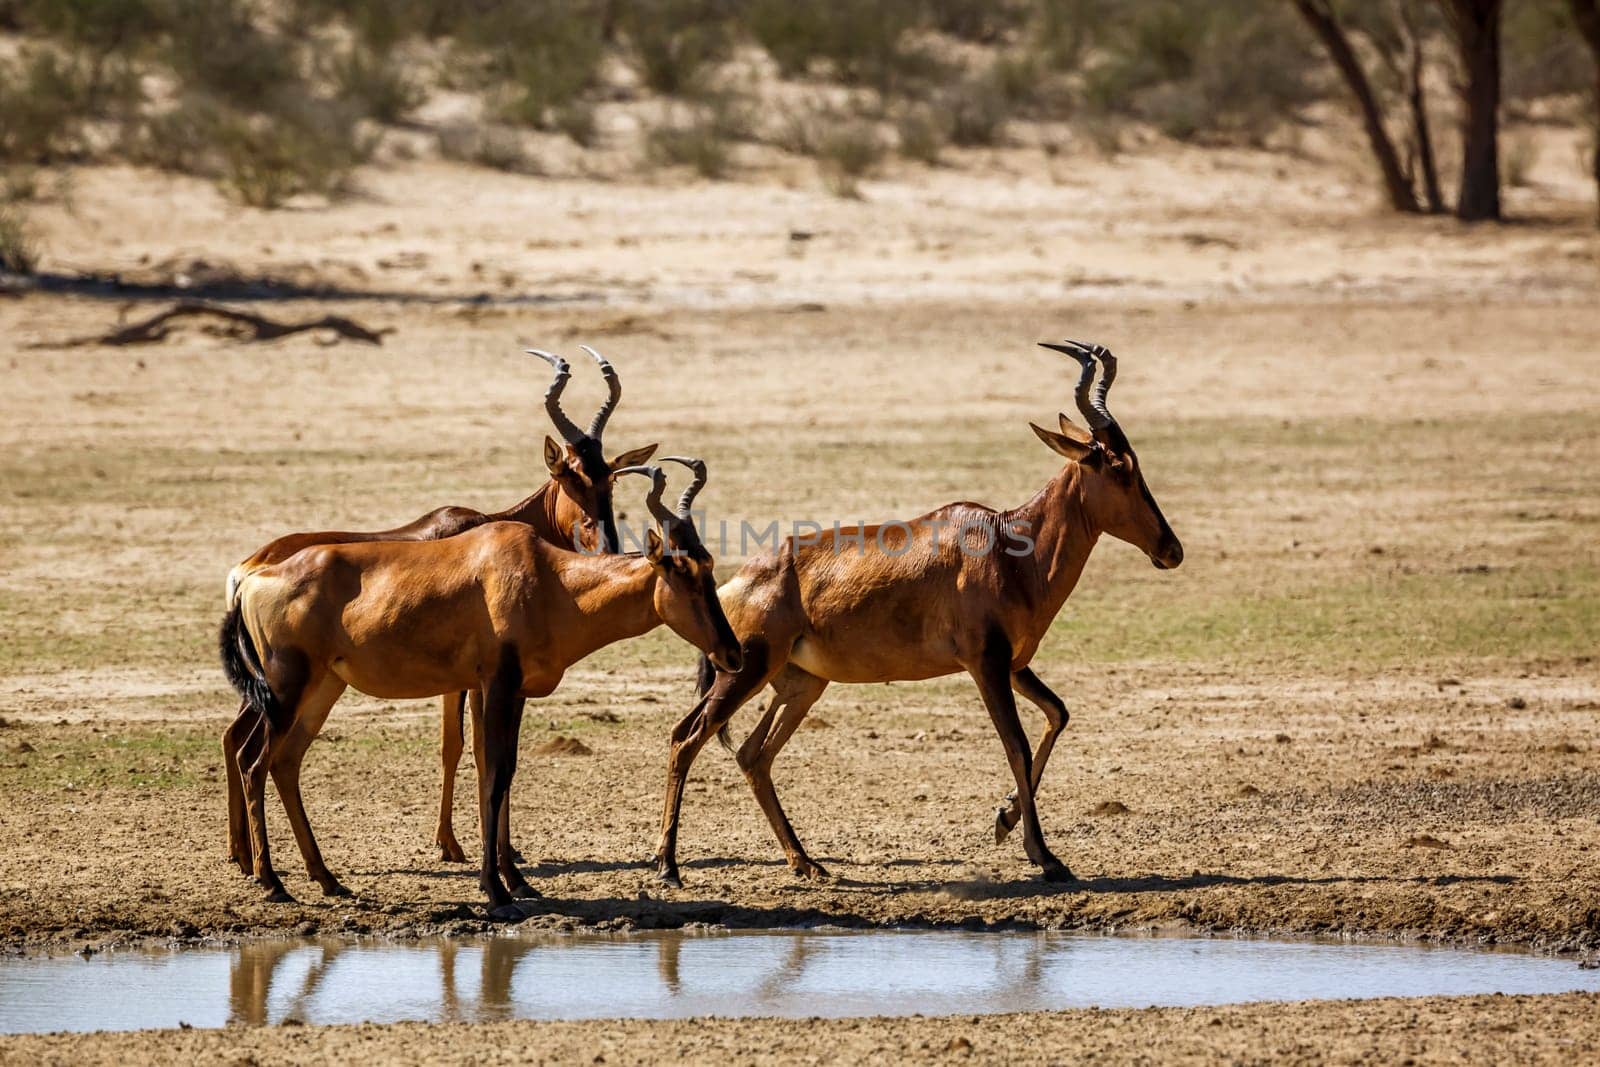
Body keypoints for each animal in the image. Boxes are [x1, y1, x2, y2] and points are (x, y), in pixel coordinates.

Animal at [219, 347, 656, 870]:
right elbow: (469, 749)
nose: (607, 544)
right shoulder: (474, 676)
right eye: (568, 474)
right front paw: (459, 846)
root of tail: (247, 571)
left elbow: (478, 750)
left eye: (609, 477)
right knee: (245, 745)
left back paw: (240, 854)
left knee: (232, 737)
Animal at [219, 460, 742, 921]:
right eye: (681, 572)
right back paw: (272, 882)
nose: (732, 654)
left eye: (709, 565)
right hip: (286, 690)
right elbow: (493, 774)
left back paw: (327, 879)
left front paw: (516, 881)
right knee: (253, 761)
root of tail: (251, 579)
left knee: (285, 762)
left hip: (323, 687)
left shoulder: (510, 690)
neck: (547, 576)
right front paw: (496, 890)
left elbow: (502, 770)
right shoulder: (497, 683)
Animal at [652, 340, 1190, 883]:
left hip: (801, 684)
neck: (1006, 543)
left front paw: (1004, 819)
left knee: (752, 754)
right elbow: (1014, 742)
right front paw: (1045, 856)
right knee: (686, 737)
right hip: (745, 670)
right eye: (1119, 468)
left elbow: (1057, 713)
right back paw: (668, 865)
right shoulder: (985, 664)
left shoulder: (1012, 664)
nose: (1171, 550)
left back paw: (806, 862)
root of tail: (737, 582)